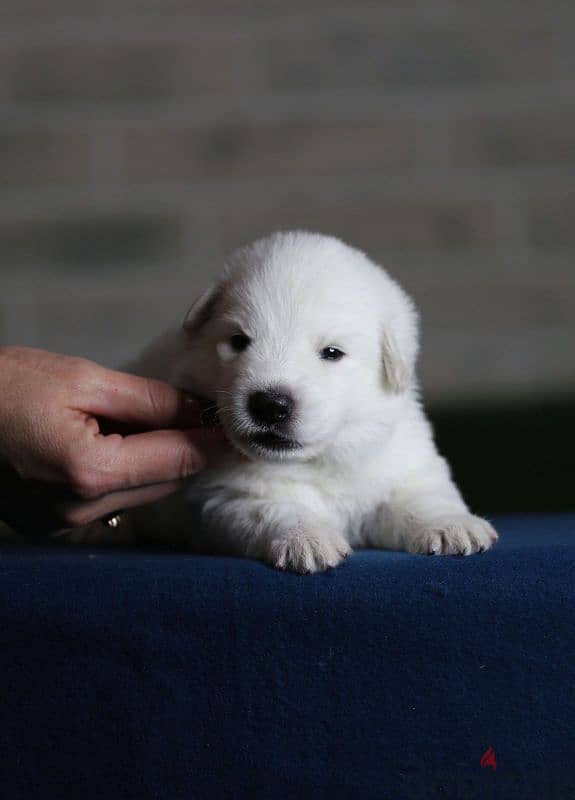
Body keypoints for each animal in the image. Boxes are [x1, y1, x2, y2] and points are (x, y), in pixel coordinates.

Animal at [93, 228, 496, 572]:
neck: (319, 460)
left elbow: (421, 493)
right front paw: (308, 540)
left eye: (332, 353)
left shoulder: (400, 459)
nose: (270, 404)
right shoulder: (230, 495)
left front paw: (454, 525)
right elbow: (278, 509)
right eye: (238, 341)